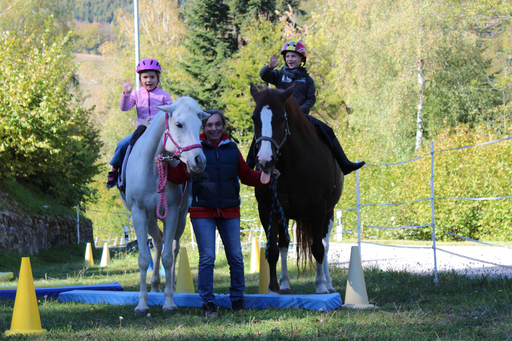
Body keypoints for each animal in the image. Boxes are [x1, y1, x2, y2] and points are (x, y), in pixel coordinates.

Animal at [120, 95, 208, 314]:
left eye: (200, 125)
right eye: (179, 124)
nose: (199, 160)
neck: (154, 167)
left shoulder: (172, 215)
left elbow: (168, 257)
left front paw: (169, 302)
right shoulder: (139, 215)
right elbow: (144, 260)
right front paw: (142, 304)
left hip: (181, 218)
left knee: (173, 248)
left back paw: (171, 287)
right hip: (151, 219)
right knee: (158, 243)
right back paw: (154, 285)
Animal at [249, 83, 344, 294]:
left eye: (281, 118)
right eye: (254, 118)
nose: (265, 161)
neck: (292, 165)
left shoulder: (319, 210)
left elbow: (318, 248)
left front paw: (321, 287)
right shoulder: (268, 209)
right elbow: (273, 250)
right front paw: (273, 289)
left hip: (329, 213)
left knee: (325, 244)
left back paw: (328, 283)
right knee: (285, 245)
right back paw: (285, 283)